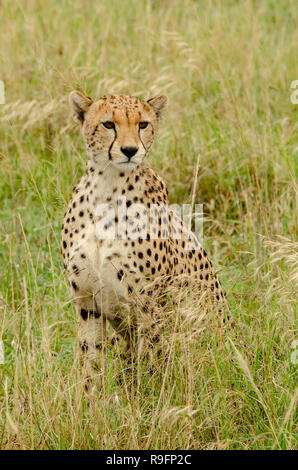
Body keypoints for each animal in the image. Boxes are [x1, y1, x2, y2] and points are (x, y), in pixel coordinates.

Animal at [61, 91, 228, 386]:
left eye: (143, 124)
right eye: (108, 124)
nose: (130, 150)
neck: (107, 187)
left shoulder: (150, 303)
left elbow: (152, 359)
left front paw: (149, 396)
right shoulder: (87, 302)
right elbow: (91, 364)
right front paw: (89, 398)